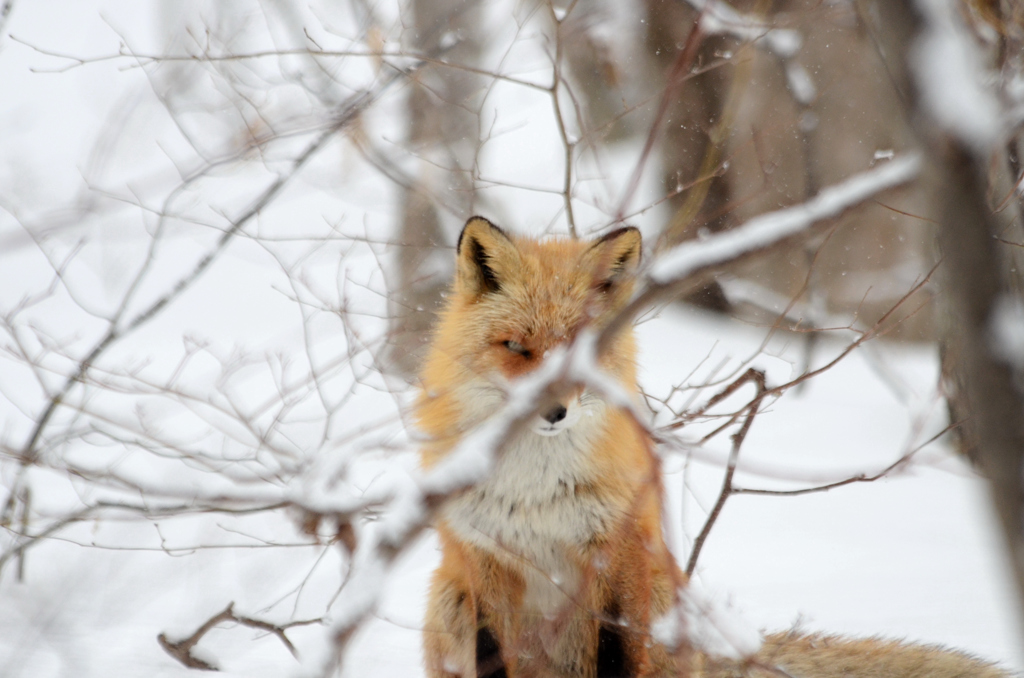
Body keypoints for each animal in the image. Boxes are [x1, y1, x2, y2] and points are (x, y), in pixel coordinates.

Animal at [415, 219, 1007, 678]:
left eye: (584, 349)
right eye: (516, 347)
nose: (553, 412)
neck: (535, 488)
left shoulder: (616, 553)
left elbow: (617, 655)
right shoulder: (483, 560)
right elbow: (491, 653)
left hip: (658, 593)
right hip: (446, 600)